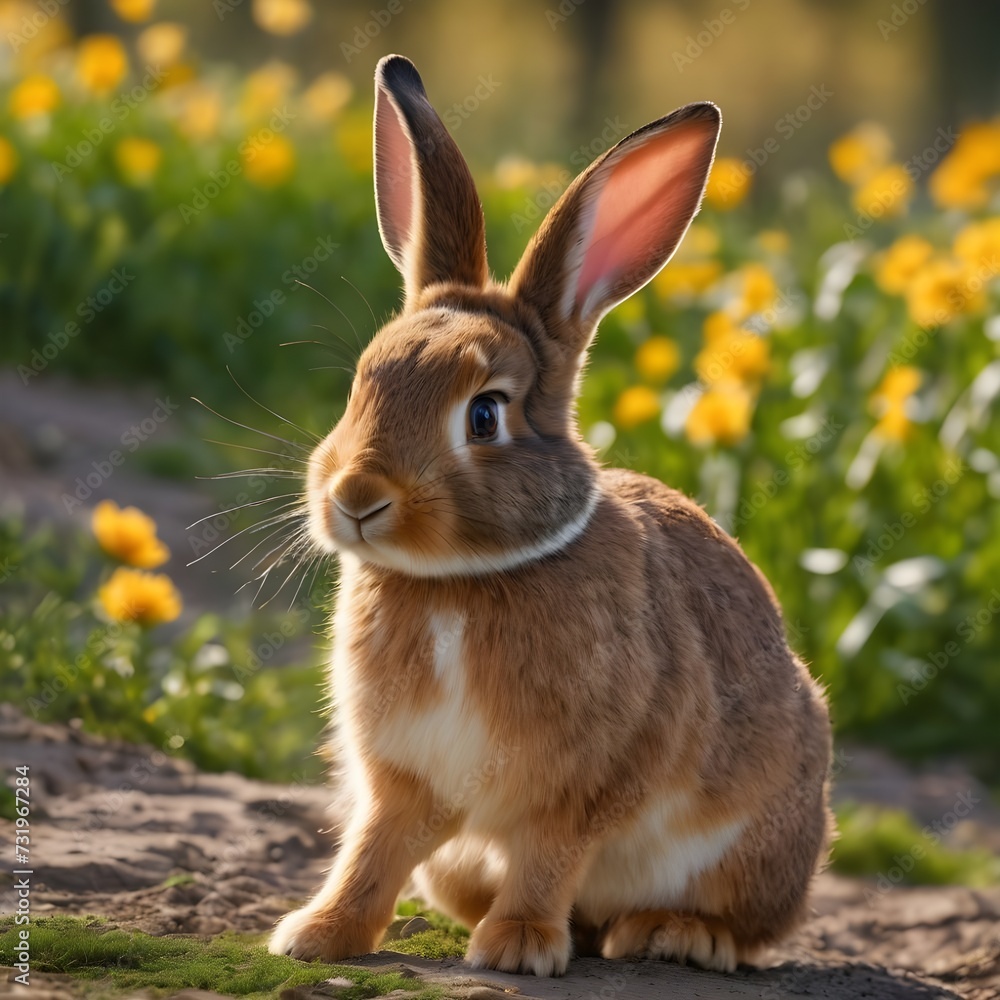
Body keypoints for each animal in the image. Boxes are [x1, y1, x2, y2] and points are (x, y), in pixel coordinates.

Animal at [268, 53, 833, 977]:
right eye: (363, 381)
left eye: (484, 415)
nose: (354, 499)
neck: (457, 584)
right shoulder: (405, 779)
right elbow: (374, 848)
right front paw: (317, 934)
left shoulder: (590, 778)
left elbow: (549, 851)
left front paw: (520, 946)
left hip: (760, 840)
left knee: (746, 928)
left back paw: (673, 933)